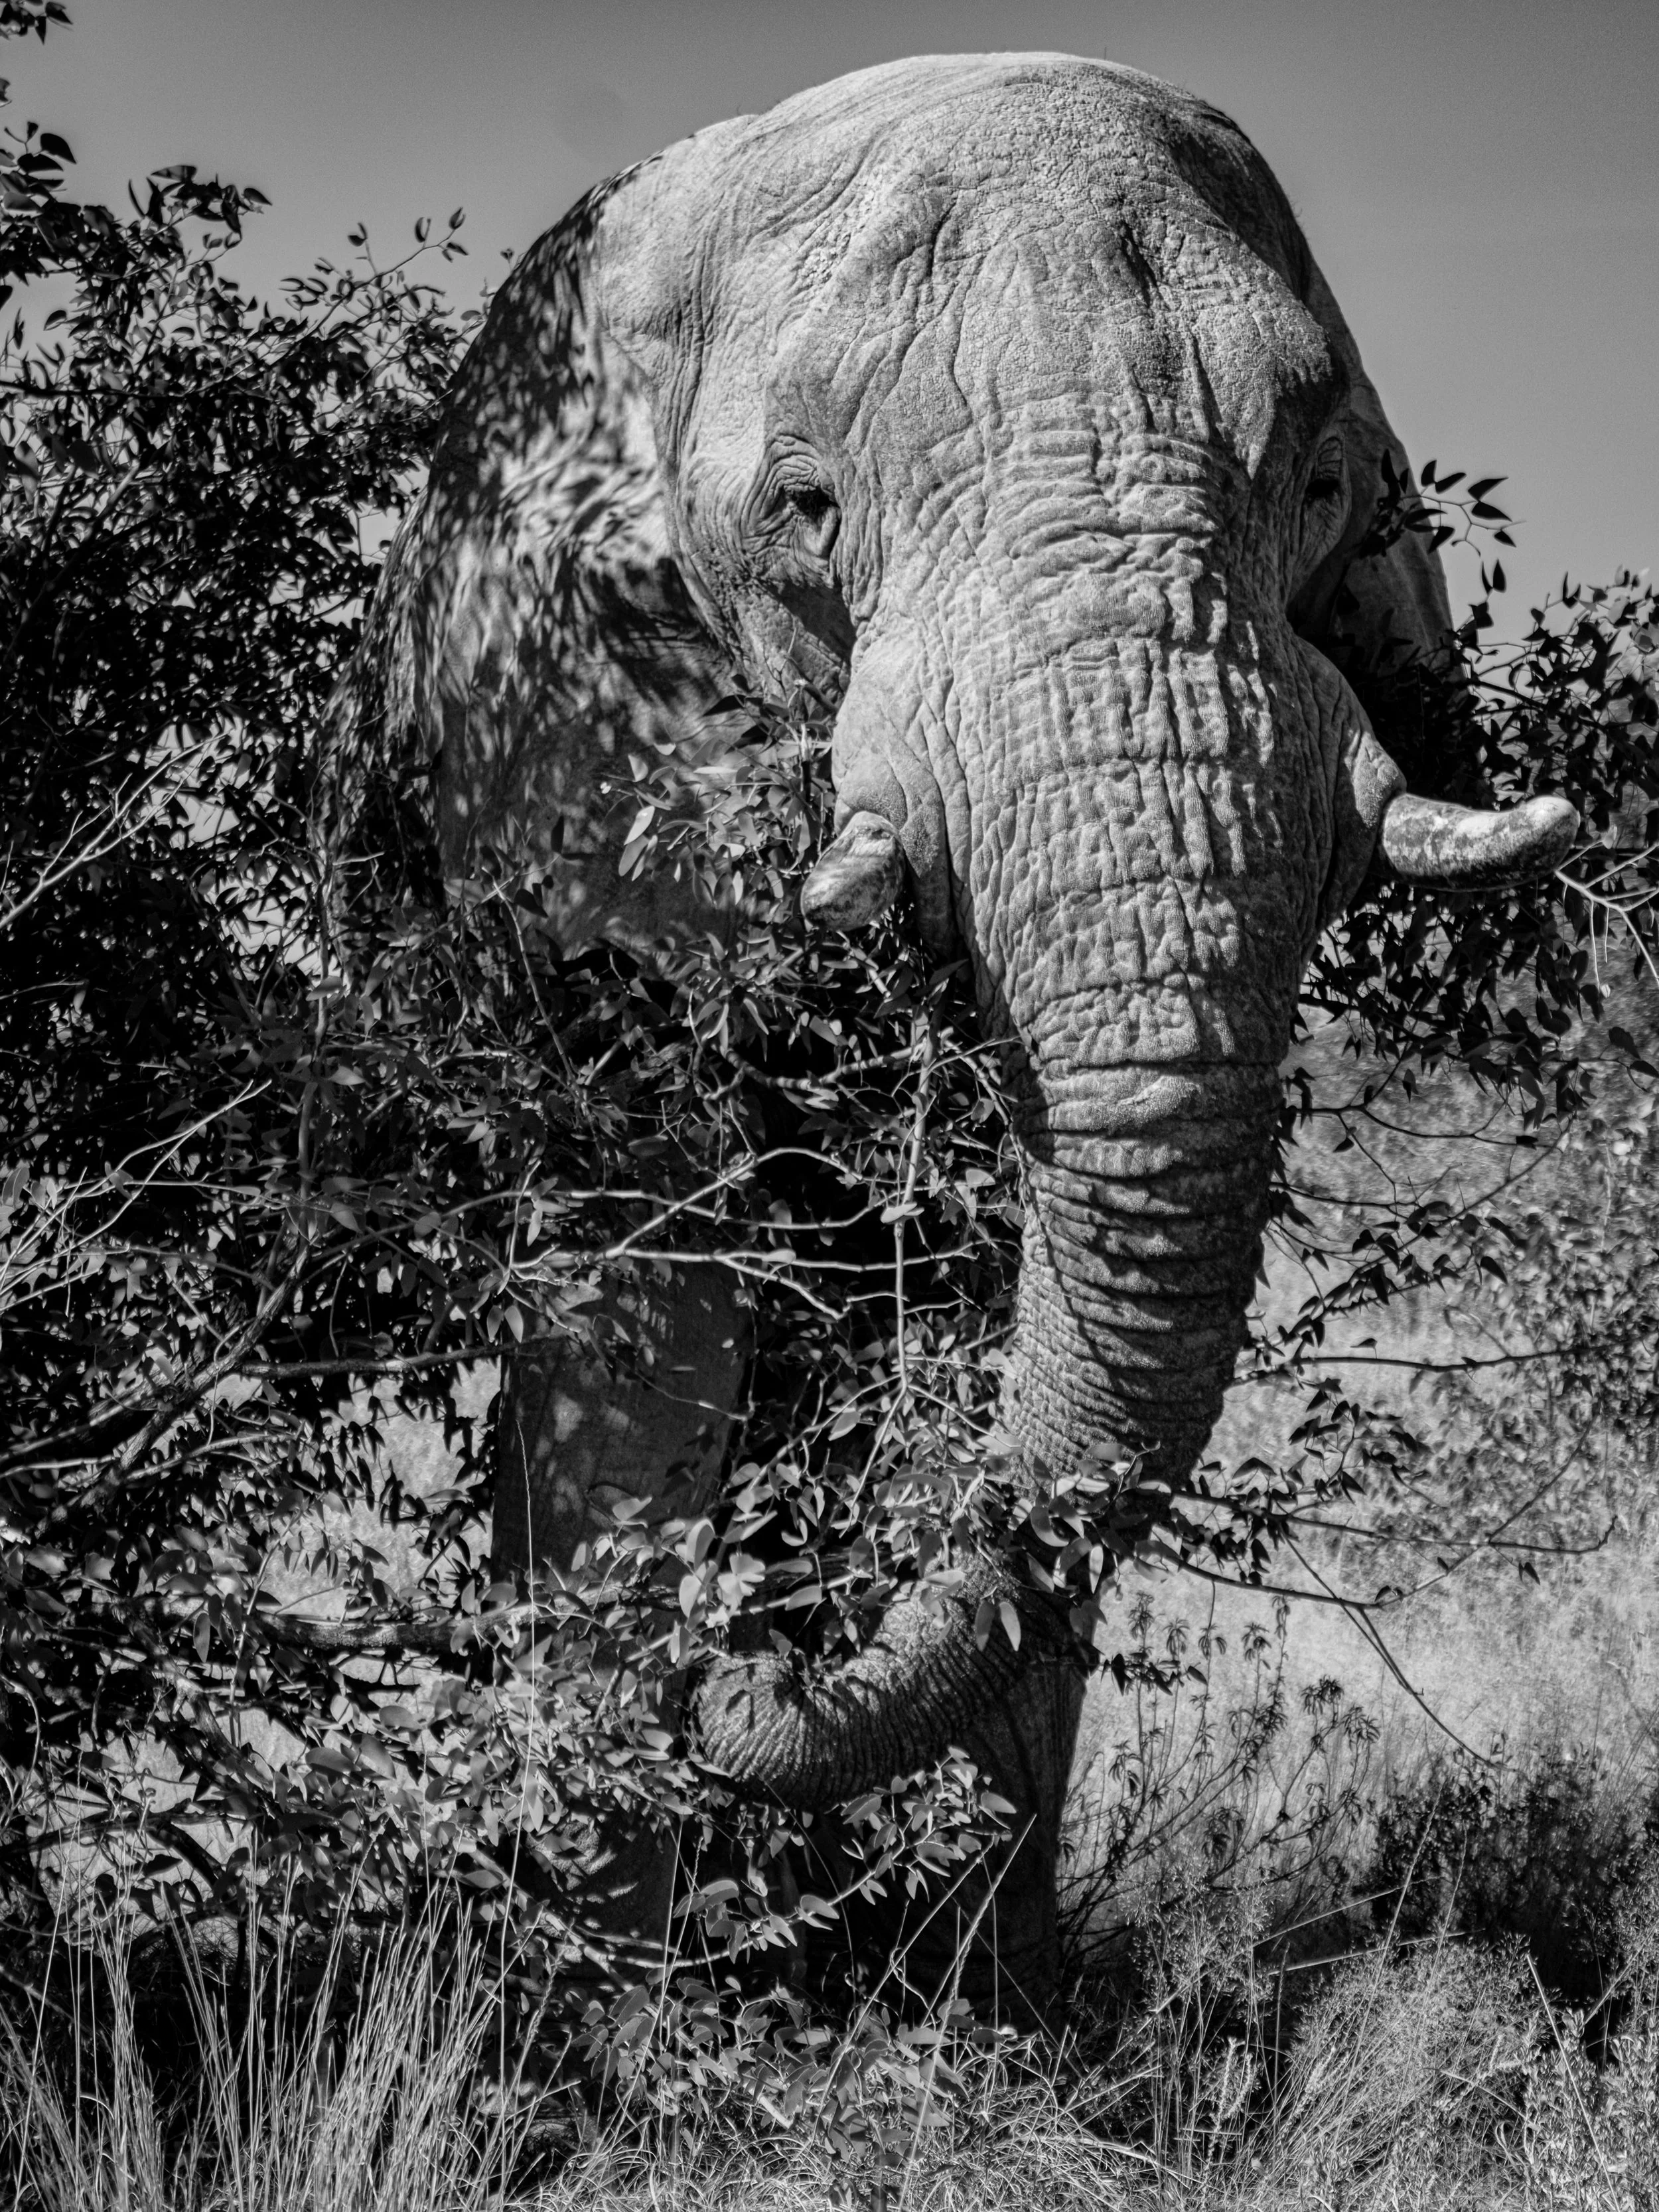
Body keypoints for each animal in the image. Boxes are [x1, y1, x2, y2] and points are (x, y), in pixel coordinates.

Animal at [326, 52, 1576, 2017]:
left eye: (1324, 482)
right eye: (807, 510)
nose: (738, 1670)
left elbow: (986, 1285)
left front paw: (979, 2012)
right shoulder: (555, 746)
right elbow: (644, 1281)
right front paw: (601, 2003)